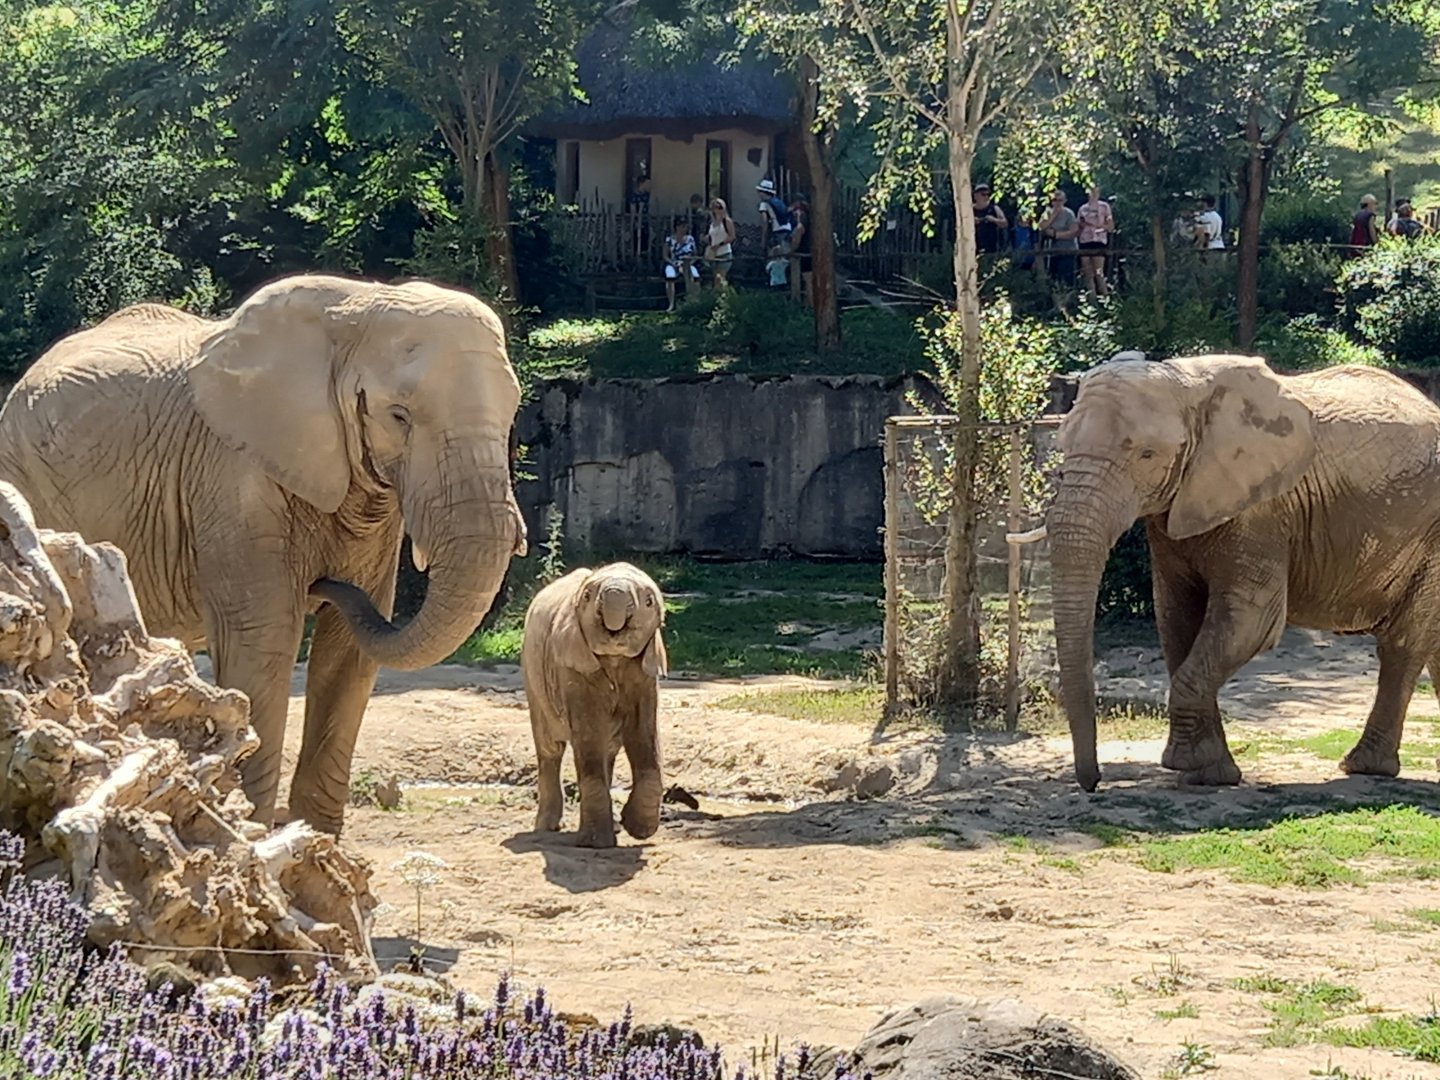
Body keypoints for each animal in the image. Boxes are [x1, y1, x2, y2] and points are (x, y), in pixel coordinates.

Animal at [0, 273, 527, 833]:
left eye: (512, 414)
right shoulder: (231, 477)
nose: (323, 583)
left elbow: (348, 651)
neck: (359, 307)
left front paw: (315, 843)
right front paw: (247, 827)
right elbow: (265, 637)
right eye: (399, 415)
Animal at [520, 562, 668, 848]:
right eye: (587, 597)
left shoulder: (645, 670)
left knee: (608, 749)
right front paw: (594, 843)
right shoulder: (572, 667)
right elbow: (589, 735)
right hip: (533, 679)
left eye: (648, 601)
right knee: (550, 749)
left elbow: (642, 732)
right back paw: (546, 828)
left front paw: (637, 829)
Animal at [1044, 352, 1440, 792]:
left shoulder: (1261, 509)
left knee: (1403, 643)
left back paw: (1364, 767)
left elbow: (1250, 622)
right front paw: (1209, 774)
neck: (1188, 386)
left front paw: (1185, 764)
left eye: (1146, 454)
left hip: (1431, 534)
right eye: (1062, 448)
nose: (1093, 782)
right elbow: (1177, 620)